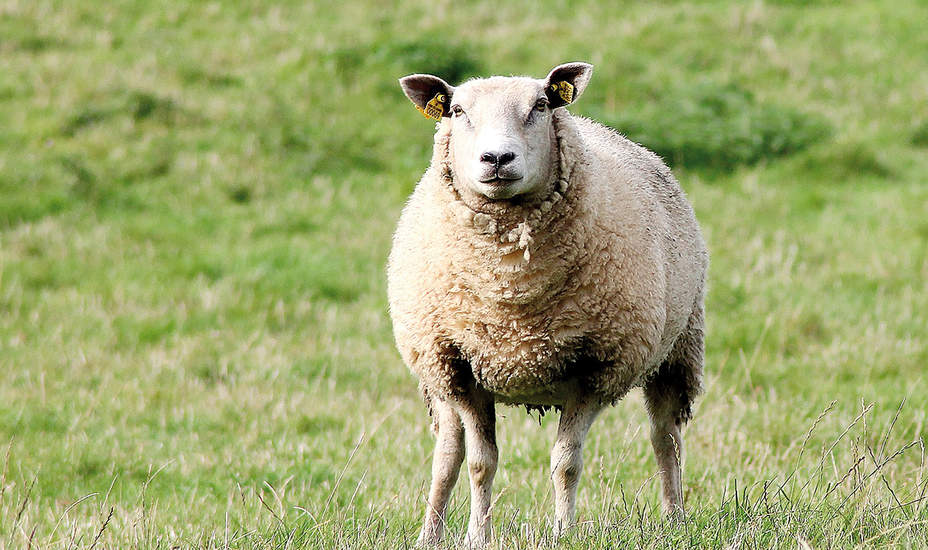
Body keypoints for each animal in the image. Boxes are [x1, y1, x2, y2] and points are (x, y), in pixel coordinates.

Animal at [388, 62, 708, 547]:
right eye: (458, 110)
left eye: (540, 106)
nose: (497, 159)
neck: (511, 294)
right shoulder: (461, 366)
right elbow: (480, 463)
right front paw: (477, 536)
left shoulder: (596, 368)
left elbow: (566, 463)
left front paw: (563, 532)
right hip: (436, 371)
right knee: (447, 453)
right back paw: (429, 535)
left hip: (677, 349)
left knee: (664, 438)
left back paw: (675, 520)